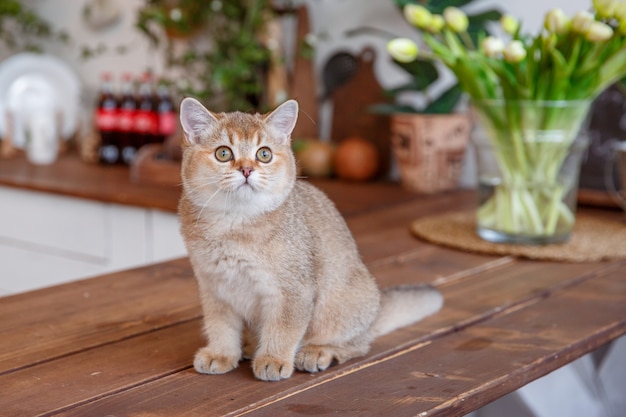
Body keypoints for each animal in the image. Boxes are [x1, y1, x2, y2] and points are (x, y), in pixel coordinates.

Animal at [177, 96, 444, 380]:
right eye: (223, 153)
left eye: (264, 154)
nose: (247, 170)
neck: (234, 224)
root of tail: (377, 308)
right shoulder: (214, 288)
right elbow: (220, 326)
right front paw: (221, 353)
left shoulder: (294, 292)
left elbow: (284, 328)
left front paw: (273, 359)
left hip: (338, 310)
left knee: (359, 344)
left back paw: (318, 352)